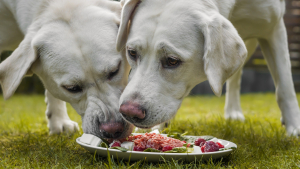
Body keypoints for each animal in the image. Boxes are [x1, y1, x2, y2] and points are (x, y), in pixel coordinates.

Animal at [116, 0, 300, 136]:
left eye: (172, 61)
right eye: (132, 52)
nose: (128, 112)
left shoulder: (274, 28)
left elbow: (285, 86)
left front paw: (294, 128)